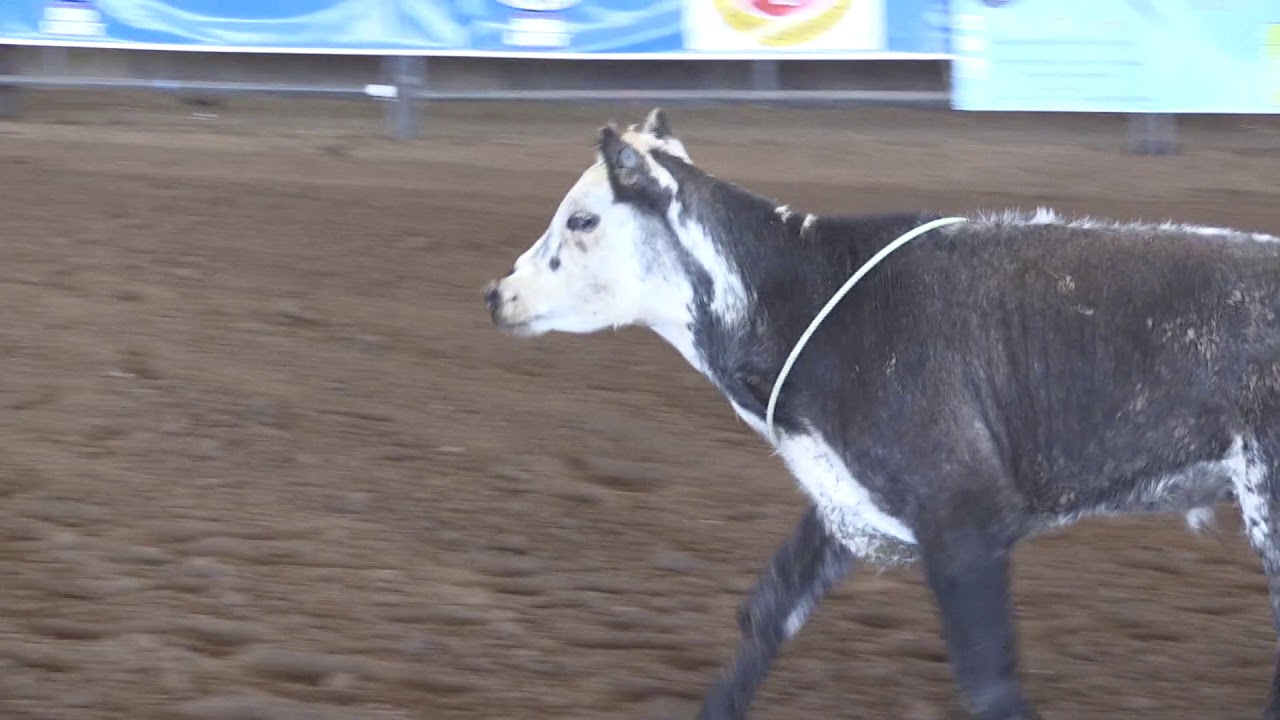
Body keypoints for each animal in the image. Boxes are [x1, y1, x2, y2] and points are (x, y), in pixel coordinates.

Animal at [481, 107, 1280, 720]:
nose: (496, 293)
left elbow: (988, 679)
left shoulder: (962, 516)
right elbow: (768, 611)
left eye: (583, 219)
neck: (805, 300)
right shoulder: (844, 498)